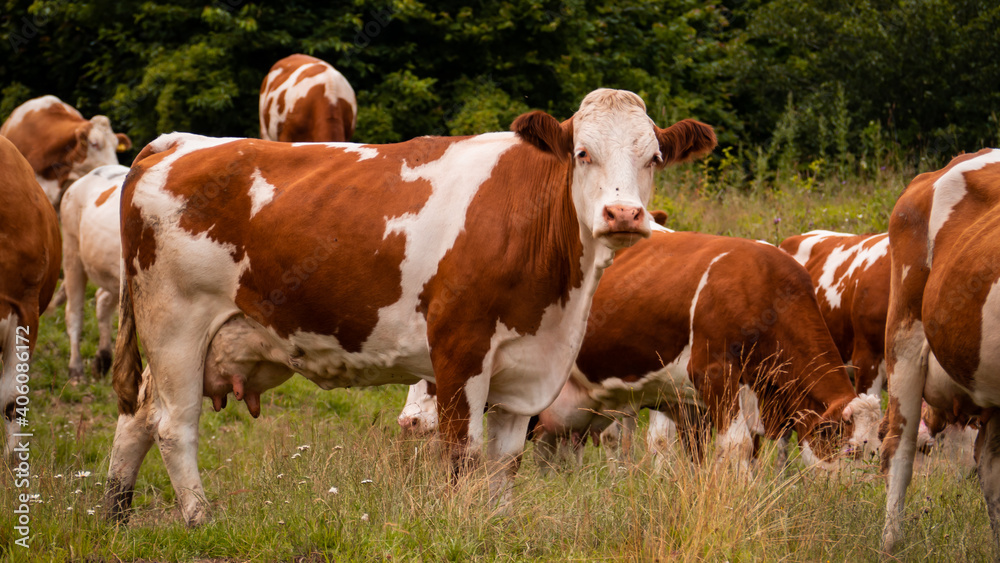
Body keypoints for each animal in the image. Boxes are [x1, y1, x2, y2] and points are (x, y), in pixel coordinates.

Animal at [103, 89, 720, 528]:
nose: (624, 214)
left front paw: (497, 526)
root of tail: (176, 142)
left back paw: (114, 514)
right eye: (582, 153)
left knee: (136, 417)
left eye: (654, 157)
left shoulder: (527, 367)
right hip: (175, 323)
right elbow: (462, 455)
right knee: (173, 425)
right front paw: (462, 526)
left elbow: (504, 462)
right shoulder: (460, 350)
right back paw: (199, 519)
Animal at [400, 227, 884, 470]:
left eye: (871, 452)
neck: (766, 291)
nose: (842, 502)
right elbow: (735, 449)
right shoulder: (714, 376)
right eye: (845, 448)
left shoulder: (708, 403)